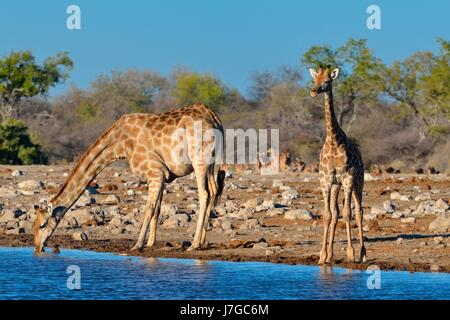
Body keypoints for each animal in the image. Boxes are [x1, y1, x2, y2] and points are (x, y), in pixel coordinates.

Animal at [32, 104, 225, 254]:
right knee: (214, 191)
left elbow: (148, 209)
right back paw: (202, 242)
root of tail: (214, 118)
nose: (37, 247)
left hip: (198, 158)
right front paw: (150, 243)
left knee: (204, 194)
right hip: (210, 161)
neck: (120, 144)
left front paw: (137, 245)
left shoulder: (155, 172)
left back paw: (193, 244)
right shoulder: (161, 175)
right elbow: (157, 209)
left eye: (42, 225)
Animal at [312, 66, 368, 264]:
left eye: (327, 81)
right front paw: (322, 255)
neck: (333, 140)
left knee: (358, 211)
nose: (314, 91)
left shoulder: (347, 177)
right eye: (314, 80)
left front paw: (351, 253)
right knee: (335, 213)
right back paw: (330, 253)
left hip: (358, 181)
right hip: (336, 186)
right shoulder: (326, 180)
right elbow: (328, 215)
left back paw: (363, 253)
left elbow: (347, 213)